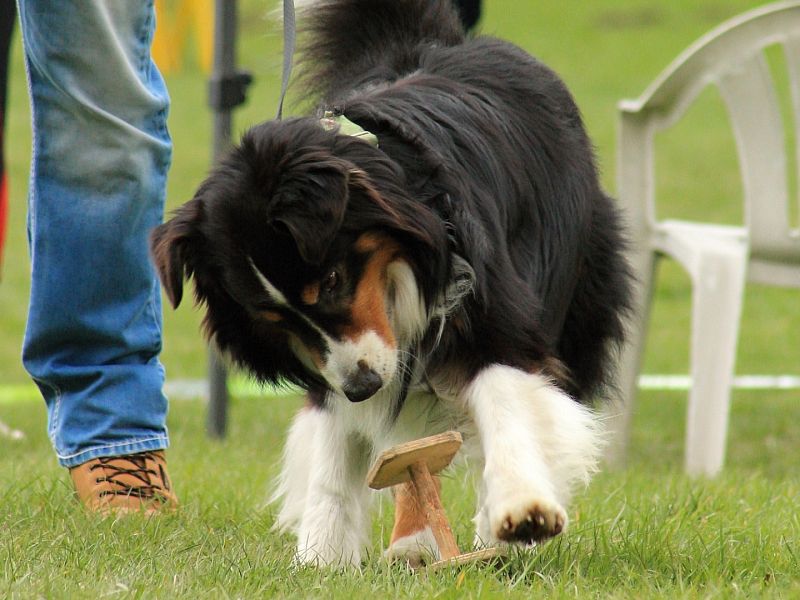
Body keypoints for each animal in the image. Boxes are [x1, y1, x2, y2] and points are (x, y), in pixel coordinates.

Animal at [150, 0, 632, 568]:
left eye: (332, 280)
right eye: (272, 318)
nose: (363, 386)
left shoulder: (490, 306)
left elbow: (507, 396)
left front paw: (521, 510)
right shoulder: (334, 364)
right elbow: (338, 451)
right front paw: (321, 556)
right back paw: (412, 542)